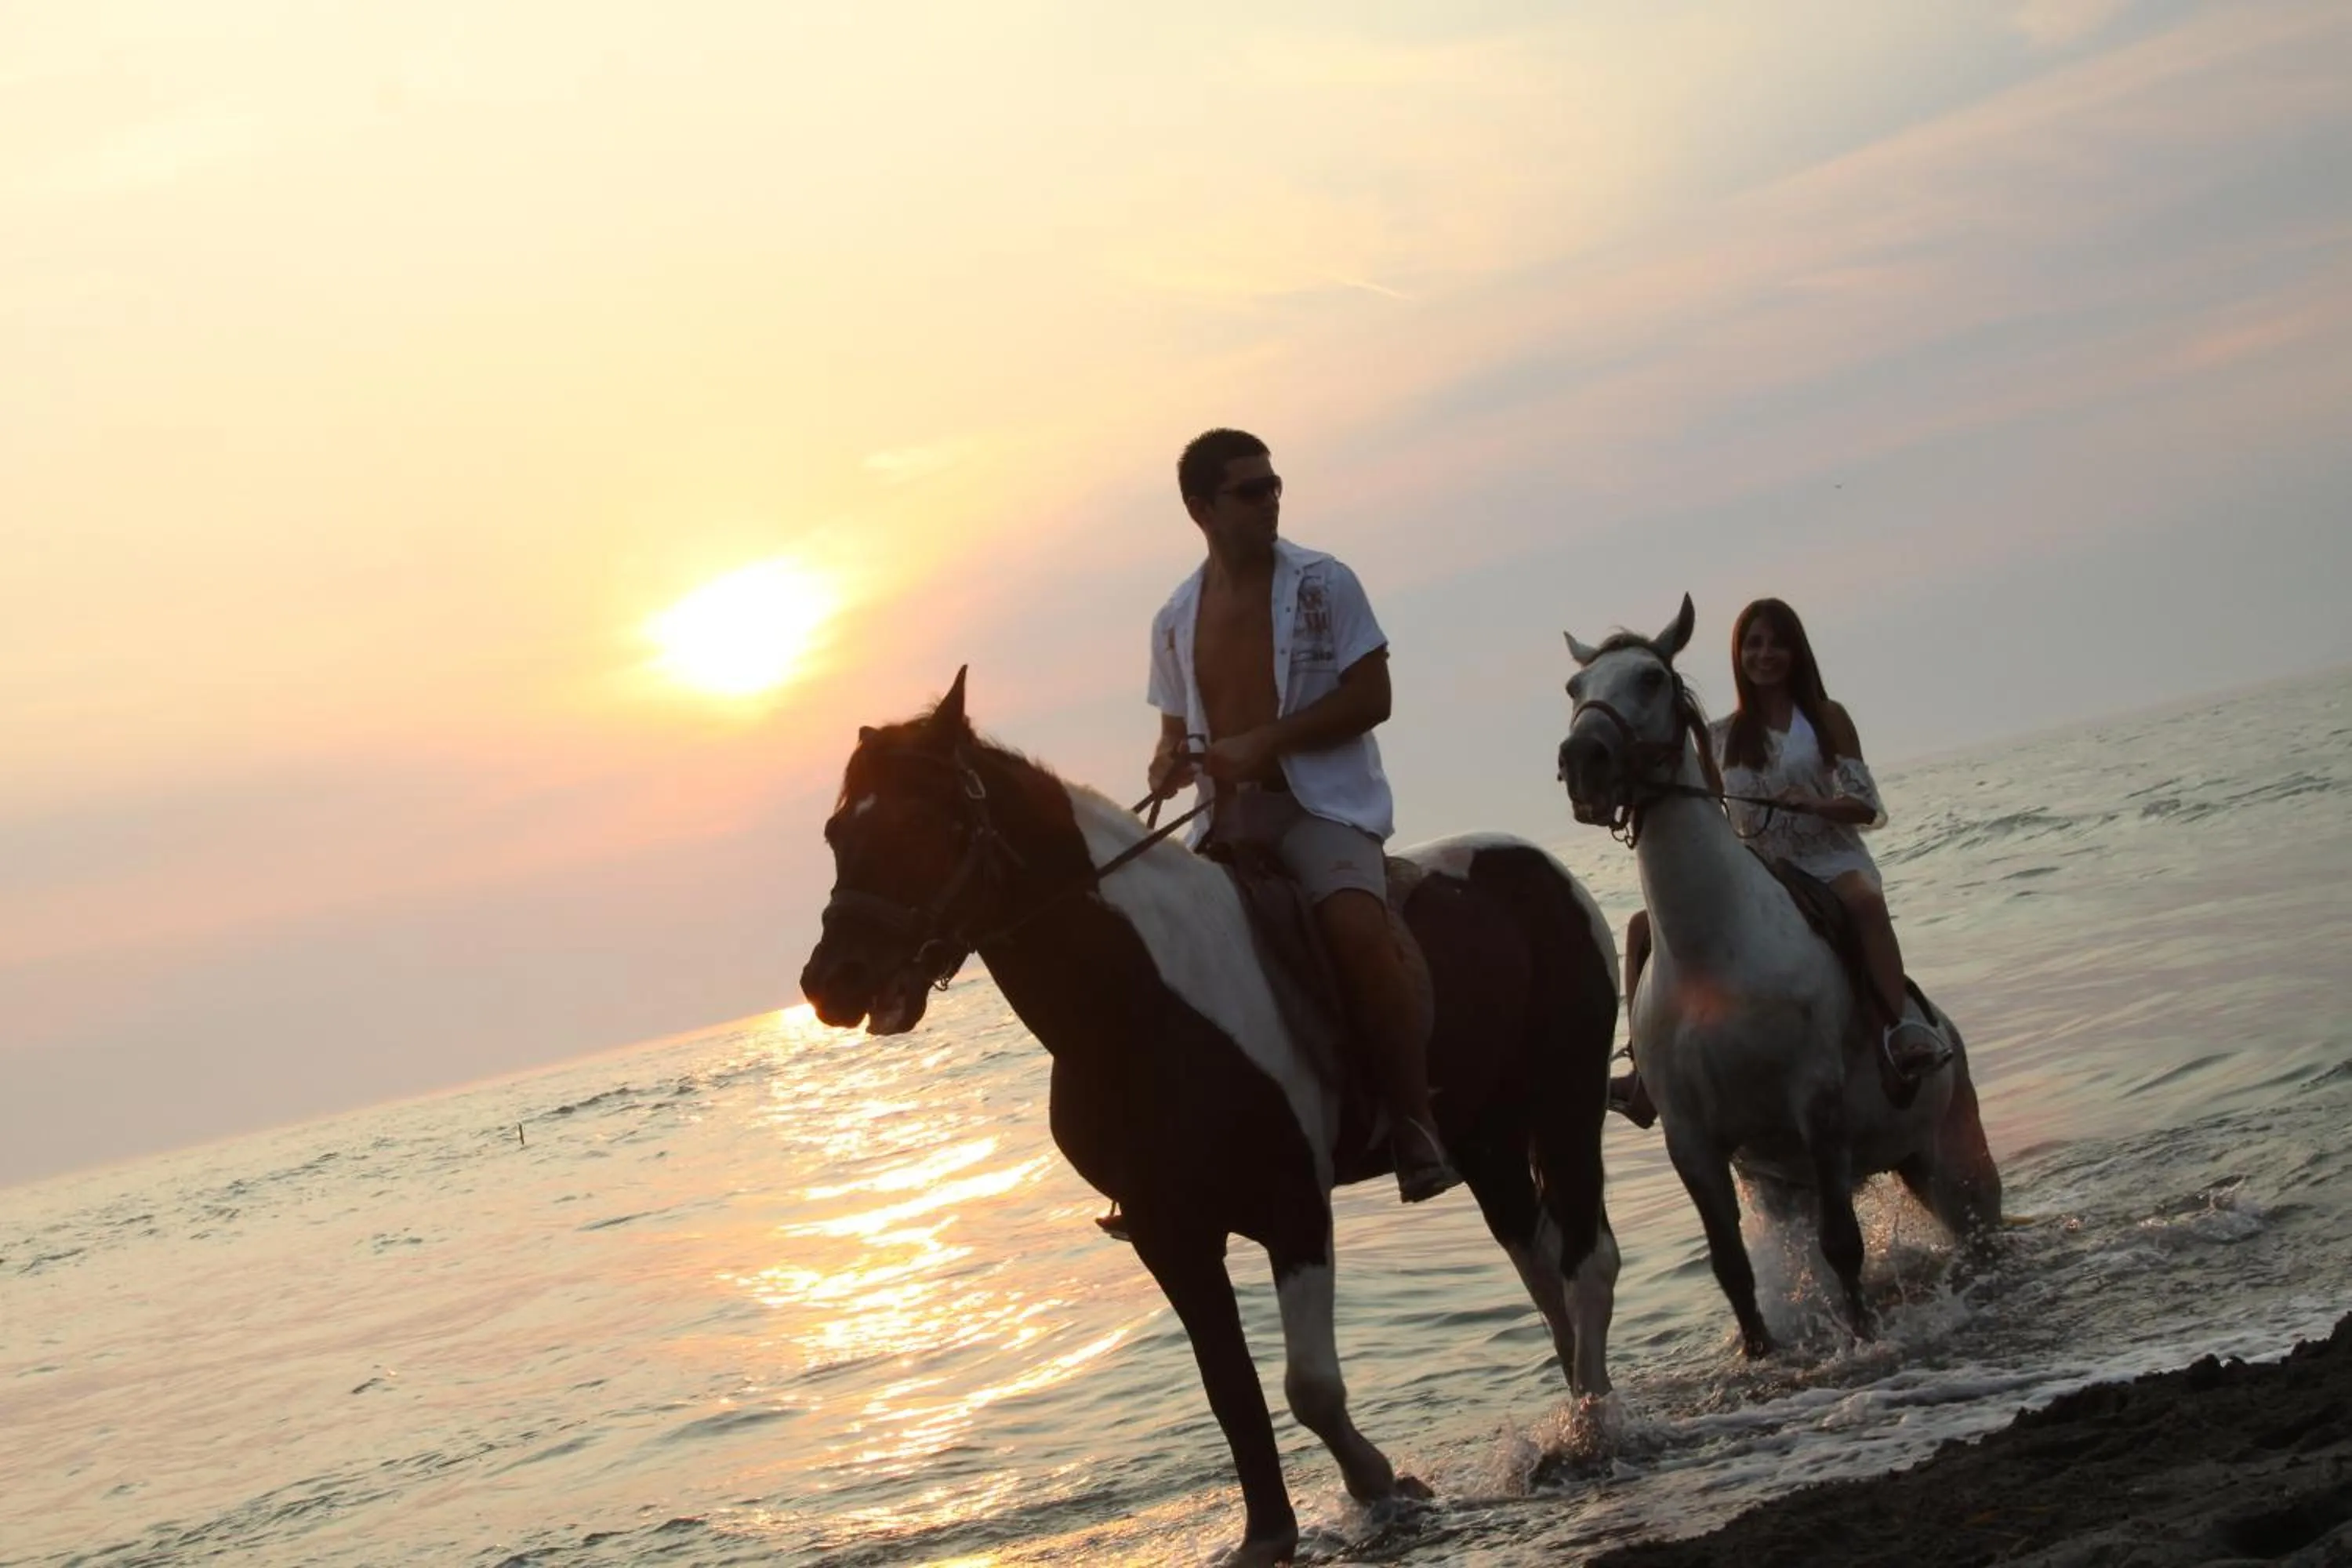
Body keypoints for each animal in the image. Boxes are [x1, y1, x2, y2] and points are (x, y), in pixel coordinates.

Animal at [799, 669, 1623, 1567]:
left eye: (923, 822)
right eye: (837, 831)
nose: (832, 980)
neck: (1141, 1005)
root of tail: (1539, 864)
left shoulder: (1294, 1209)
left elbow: (1309, 1387)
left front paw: (1381, 1482)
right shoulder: (1170, 1234)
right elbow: (1230, 1389)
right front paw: (1270, 1532)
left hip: (1568, 1099)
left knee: (1587, 1262)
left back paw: (1593, 1431)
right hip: (1487, 1136)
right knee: (1540, 1267)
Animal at [1555, 597, 2000, 1356]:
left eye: (1650, 677)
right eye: (1574, 689)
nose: (1581, 761)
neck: (1716, 958)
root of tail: (1947, 1032)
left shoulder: (1816, 1106)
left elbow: (1844, 1246)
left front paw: (1862, 1336)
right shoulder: (1693, 1142)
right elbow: (1733, 1270)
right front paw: (1762, 1356)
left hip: (1955, 1165)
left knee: (1979, 1229)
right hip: (1797, 1183)